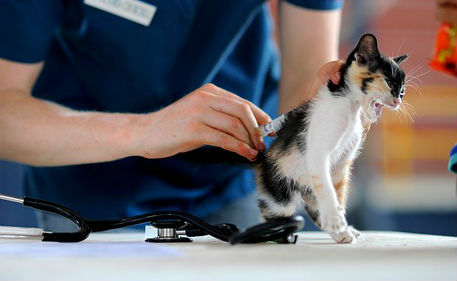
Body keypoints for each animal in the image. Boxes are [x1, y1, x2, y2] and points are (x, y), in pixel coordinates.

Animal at [255, 33, 408, 243]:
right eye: (389, 81)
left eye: (403, 90)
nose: (398, 100)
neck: (350, 106)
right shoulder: (317, 153)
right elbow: (327, 188)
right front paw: (336, 221)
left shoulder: (342, 163)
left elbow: (338, 194)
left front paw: (341, 225)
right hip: (279, 194)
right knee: (274, 215)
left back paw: (339, 233)